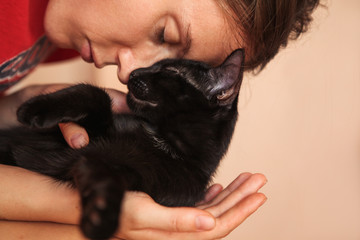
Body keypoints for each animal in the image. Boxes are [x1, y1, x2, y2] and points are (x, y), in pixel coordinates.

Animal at [0, 48, 245, 238]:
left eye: (170, 71)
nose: (134, 72)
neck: (163, 141)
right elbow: (95, 93)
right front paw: (32, 109)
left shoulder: (122, 172)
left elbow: (107, 177)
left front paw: (100, 214)